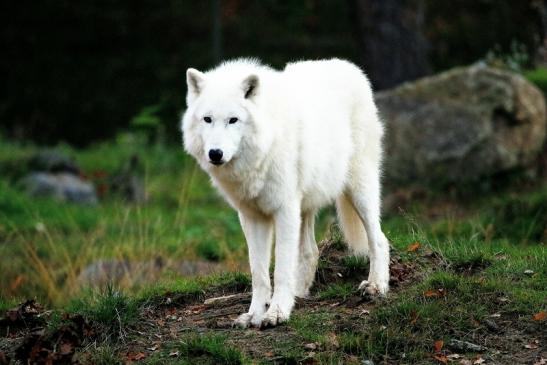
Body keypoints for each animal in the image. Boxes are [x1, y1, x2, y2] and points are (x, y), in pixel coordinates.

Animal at [183, 57, 390, 328]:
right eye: (207, 119)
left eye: (233, 120)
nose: (215, 154)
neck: (264, 146)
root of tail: (350, 67)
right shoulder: (252, 217)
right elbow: (259, 273)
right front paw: (254, 314)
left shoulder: (284, 210)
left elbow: (280, 269)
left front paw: (277, 312)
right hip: (307, 205)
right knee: (310, 252)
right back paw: (298, 294)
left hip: (358, 189)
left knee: (379, 239)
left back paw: (376, 286)